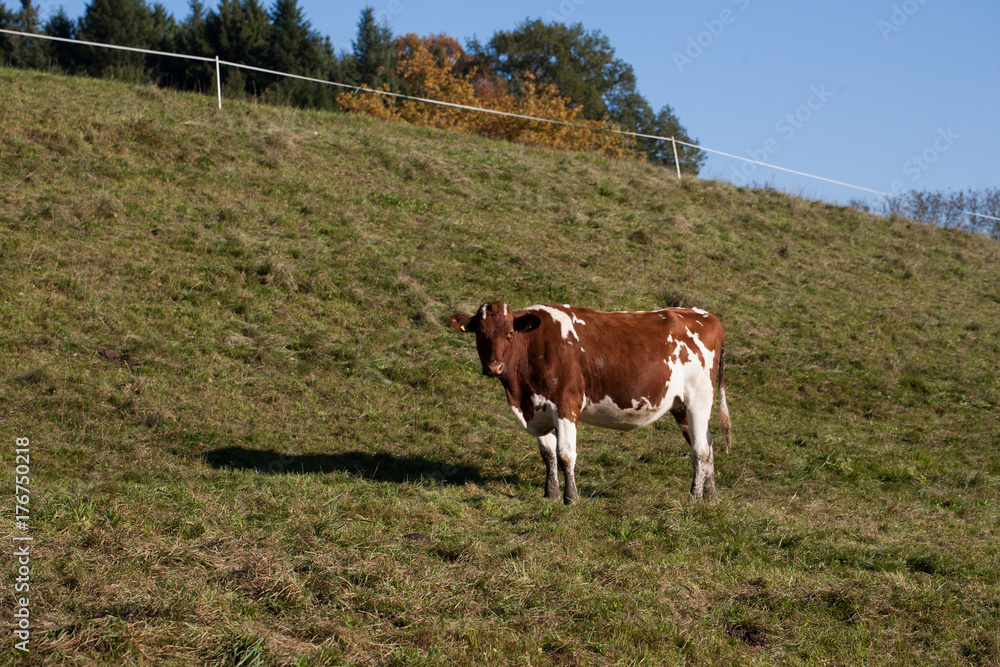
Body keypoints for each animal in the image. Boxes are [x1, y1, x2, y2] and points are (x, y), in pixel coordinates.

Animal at [450, 300, 732, 504]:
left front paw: (570, 498)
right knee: (707, 444)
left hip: (699, 398)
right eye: (480, 334)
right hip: (682, 406)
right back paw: (711, 496)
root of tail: (707, 316)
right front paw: (550, 495)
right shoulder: (539, 409)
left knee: (700, 449)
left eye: (509, 334)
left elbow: (565, 454)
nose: (494, 367)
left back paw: (695, 497)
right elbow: (548, 455)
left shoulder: (566, 403)